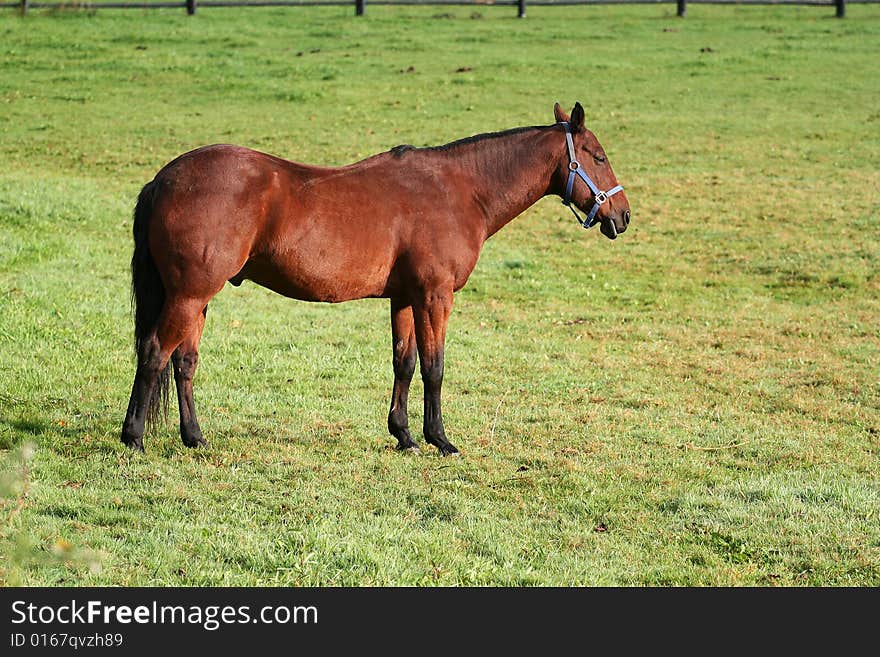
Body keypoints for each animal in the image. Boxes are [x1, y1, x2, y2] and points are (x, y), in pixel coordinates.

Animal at [120, 101, 628, 456]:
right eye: (599, 157)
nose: (622, 216)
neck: (459, 191)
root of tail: (163, 179)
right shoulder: (434, 296)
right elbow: (434, 367)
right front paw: (440, 439)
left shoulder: (404, 298)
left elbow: (404, 363)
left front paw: (403, 435)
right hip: (189, 294)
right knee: (154, 353)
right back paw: (134, 438)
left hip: (196, 298)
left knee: (183, 362)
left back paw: (194, 437)